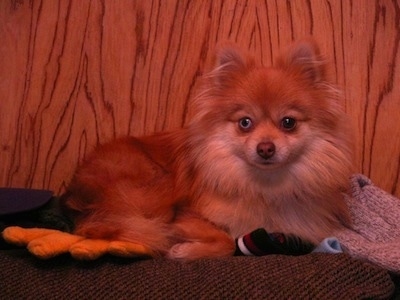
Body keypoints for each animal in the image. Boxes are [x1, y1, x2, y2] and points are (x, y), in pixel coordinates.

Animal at [61, 40, 352, 260]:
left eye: (288, 122)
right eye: (245, 123)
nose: (265, 148)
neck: (265, 187)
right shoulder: (187, 215)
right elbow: (226, 240)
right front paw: (183, 250)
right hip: (155, 188)